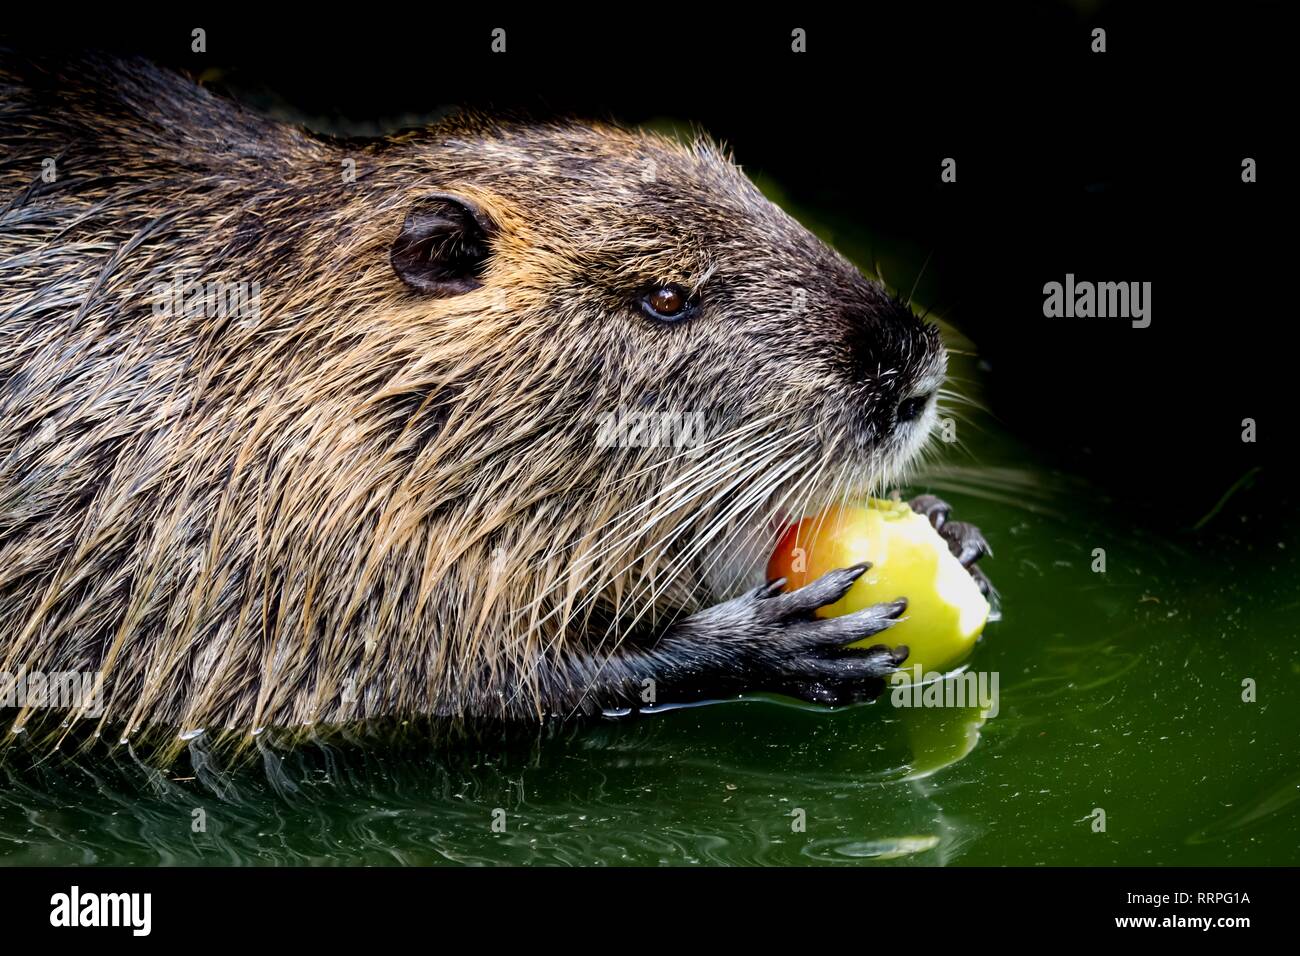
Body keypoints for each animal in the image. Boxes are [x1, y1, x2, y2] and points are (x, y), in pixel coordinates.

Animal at [0, 52, 987, 759]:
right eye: (666, 298)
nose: (914, 376)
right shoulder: (242, 540)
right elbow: (438, 684)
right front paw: (784, 638)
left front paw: (955, 531)